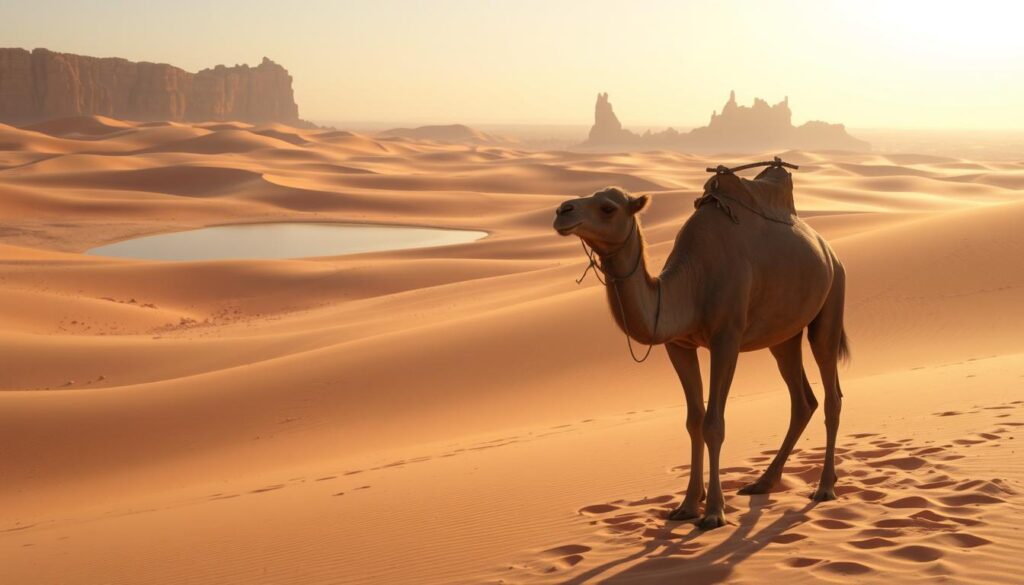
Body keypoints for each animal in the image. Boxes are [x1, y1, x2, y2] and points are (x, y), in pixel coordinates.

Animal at [552, 162, 848, 530]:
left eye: (608, 207)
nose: (562, 211)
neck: (689, 285)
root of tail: (829, 250)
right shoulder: (678, 344)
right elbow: (693, 421)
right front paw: (688, 506)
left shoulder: (726, 339)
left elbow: (713, 424)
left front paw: (714, 512)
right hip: (783, 335)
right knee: (802, 399)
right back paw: (763, 482)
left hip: (832, 299)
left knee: (831, 393)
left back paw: (824, 487)